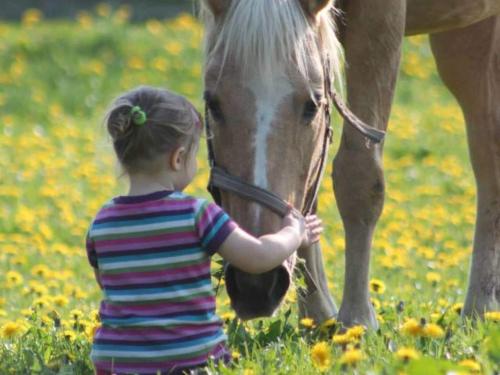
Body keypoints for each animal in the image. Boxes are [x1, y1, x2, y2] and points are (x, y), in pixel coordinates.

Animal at [199, 0, 500, 328]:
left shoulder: (379, 24)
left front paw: (357, 318)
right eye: (212, 102)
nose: (256, 284)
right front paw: (317, 314)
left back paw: (481, 306)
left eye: (312, 105)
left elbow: (359, 177)